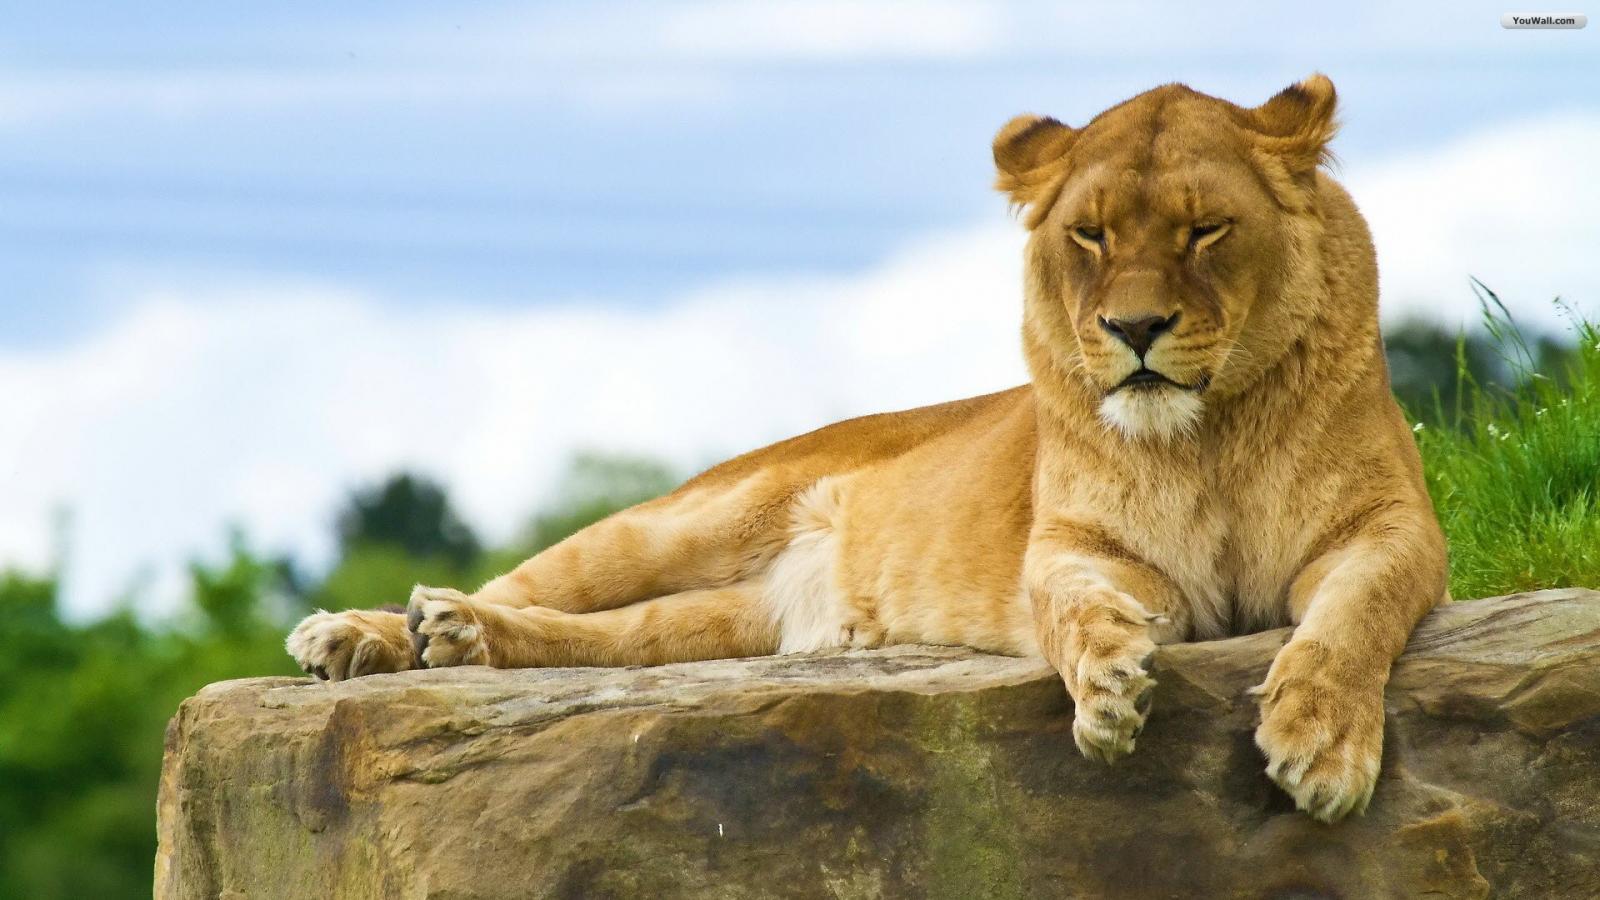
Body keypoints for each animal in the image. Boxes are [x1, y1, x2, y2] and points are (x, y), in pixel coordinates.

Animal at [288, 75, 1448, 822]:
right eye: (1091, 236)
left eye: (1206, 230)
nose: (1134, 329)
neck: (1205, 439)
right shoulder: (1074, 550)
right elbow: (1071, 610)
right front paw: (1110, 687)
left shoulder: (1393, 529)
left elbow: (1350, 620)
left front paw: (1320, 744)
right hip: (689, 518)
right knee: (533, 582)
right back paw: (371, 633)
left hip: (732, 625)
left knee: (603, 641)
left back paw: (453, 640)